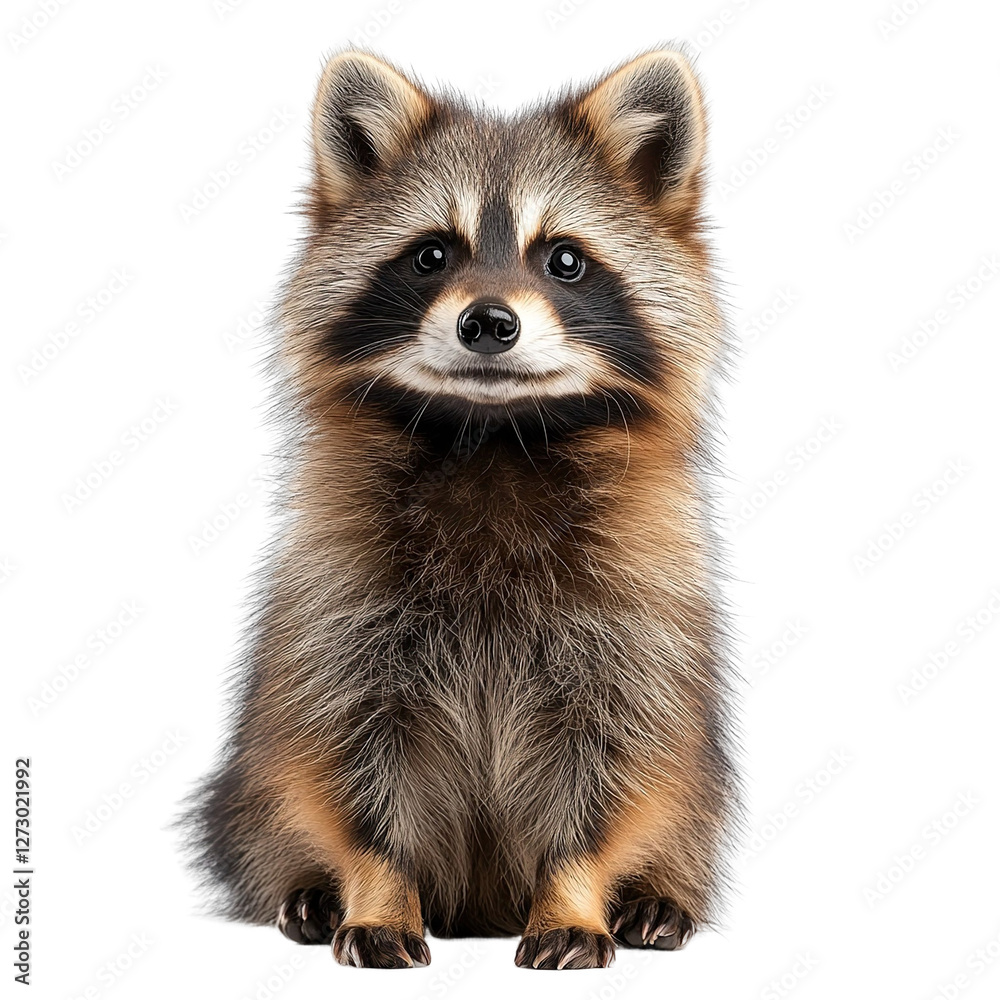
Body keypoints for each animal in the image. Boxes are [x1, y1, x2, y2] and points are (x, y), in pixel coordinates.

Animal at [182, 46, 740, 970]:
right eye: (432, 255)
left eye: (564, 260)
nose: (489, 323)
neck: (493, 436)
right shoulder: (340, 605)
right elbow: (346, 758)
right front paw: (377, 888)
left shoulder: (634, 621)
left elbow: (616, 764)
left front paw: (575, 894)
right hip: (252, 784)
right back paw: (308, 888)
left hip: (697, 790)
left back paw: (656, 892)